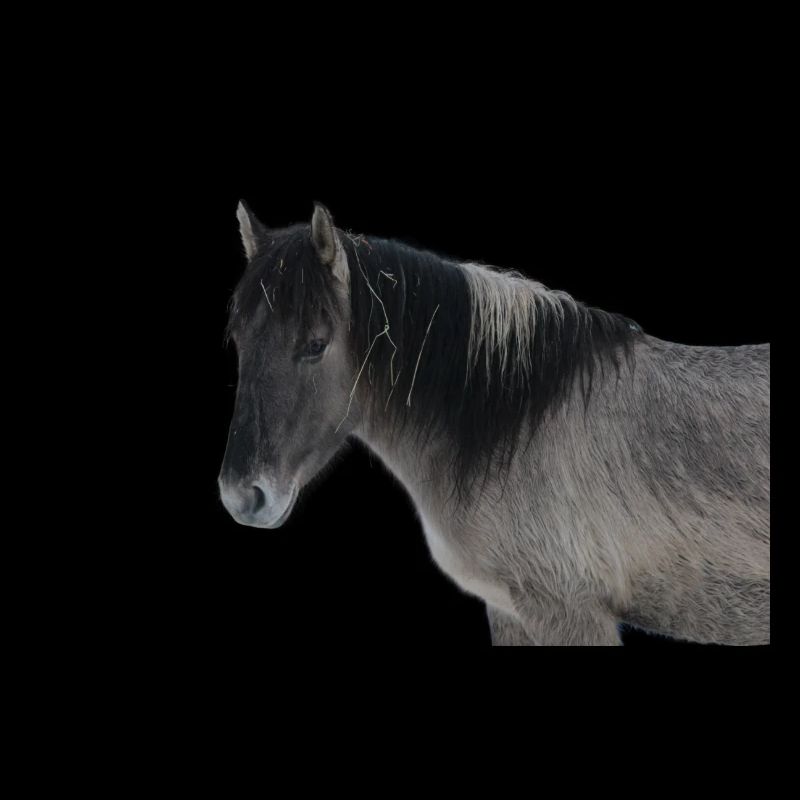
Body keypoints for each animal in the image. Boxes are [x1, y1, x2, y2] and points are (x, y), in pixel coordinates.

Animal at [219, 201, 770, 646]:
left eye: (316, 344)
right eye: (239, 342)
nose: (242, 497)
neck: (520, 428)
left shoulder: (569, 615)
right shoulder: (509, 611)